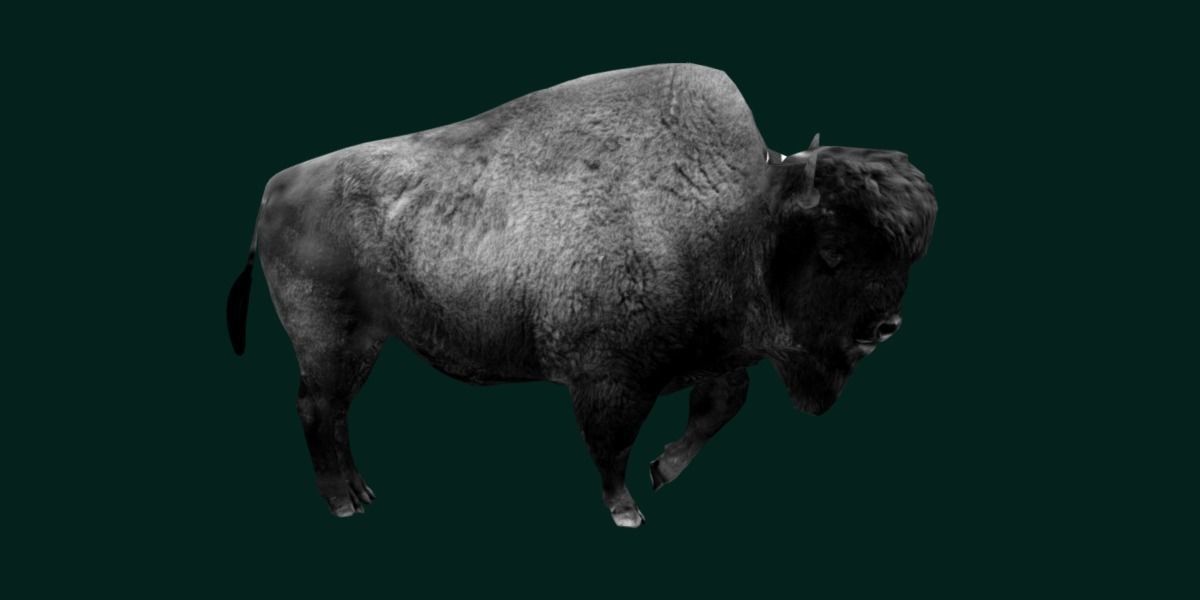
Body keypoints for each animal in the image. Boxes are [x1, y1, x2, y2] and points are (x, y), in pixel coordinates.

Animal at [227, 63, 936, 528]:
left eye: (907, 256)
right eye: (832, 249)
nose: (886, 327)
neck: (739, 219)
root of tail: (273, 190)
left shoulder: (714, 358)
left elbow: (719, 409)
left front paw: (663, 471)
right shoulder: (611, 378)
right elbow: (611, 443)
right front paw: (627, 509)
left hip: (364, 343)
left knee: (334, 411)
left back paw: (360, 493)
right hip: (333, 340)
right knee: (318, 408)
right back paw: (344, 501)